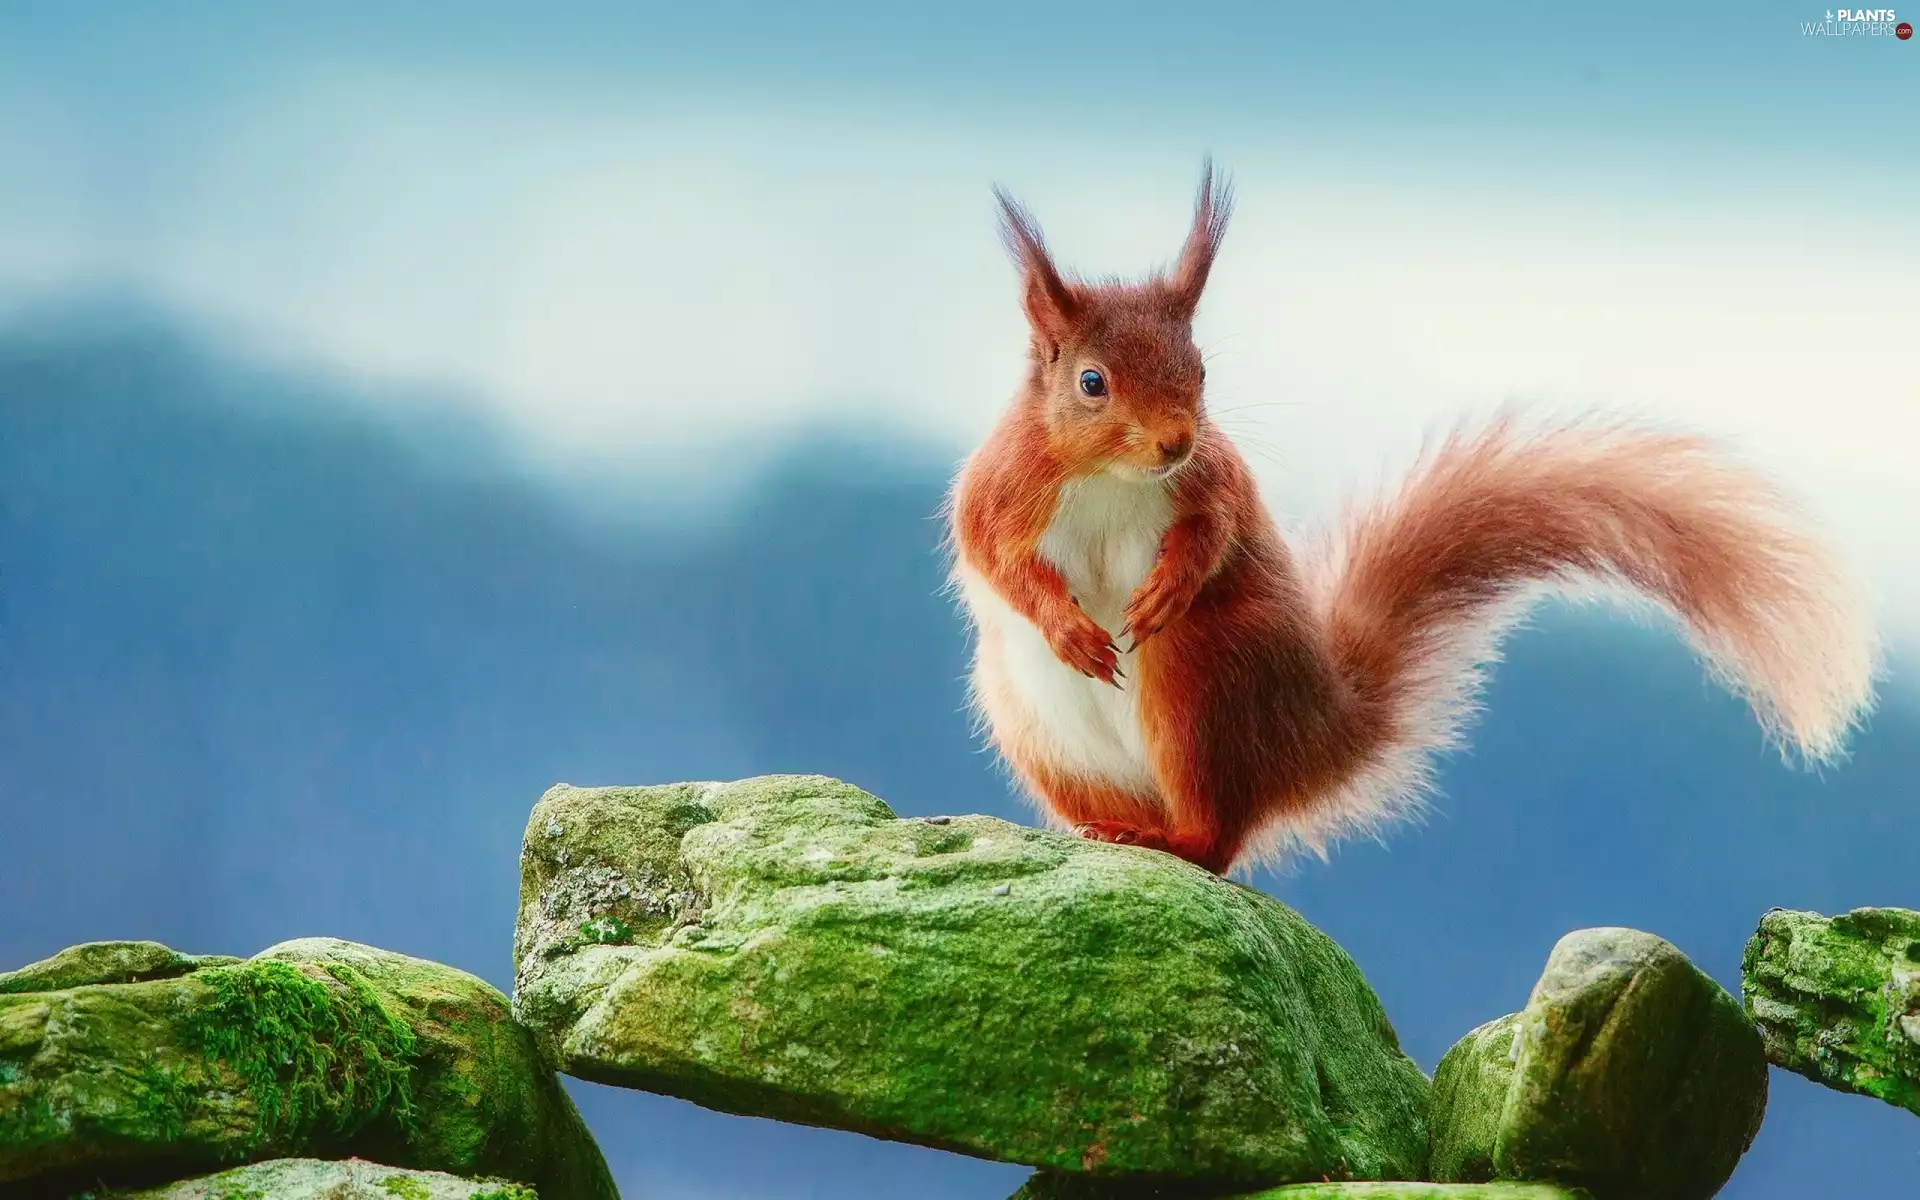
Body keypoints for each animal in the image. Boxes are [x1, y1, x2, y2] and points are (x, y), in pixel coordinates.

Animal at [946, 160, 1880, 876]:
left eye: (1200, 369)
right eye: (1091, 382)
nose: (1176, 440)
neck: (1112, 476)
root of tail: (1316, 734)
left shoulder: (1216, 482)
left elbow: (1214, 536)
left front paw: (1167, 586)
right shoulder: (1002, 491)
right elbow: (994, 558)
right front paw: (1067, 627)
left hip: (1202, 680)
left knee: (1219, 838)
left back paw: (1171, 837)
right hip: (1035, 725)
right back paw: (1114, 828)